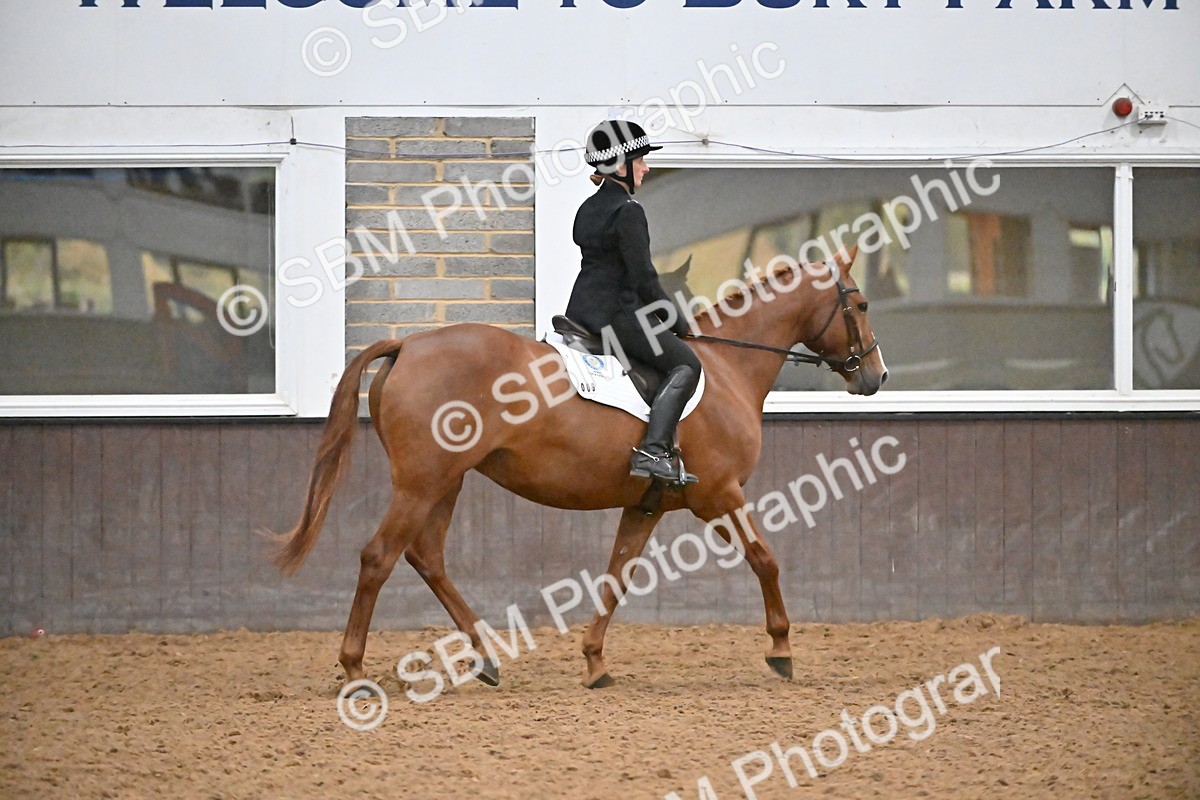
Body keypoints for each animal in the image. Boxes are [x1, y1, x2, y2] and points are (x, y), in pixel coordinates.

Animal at [273, 246, 887, 690]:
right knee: (379, 557)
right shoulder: (720, 495)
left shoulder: (646, 506)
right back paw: (355, 670)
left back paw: (487, 659)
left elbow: (617, 575)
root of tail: (408, 345)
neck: (727, 366)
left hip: (445, 482)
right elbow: (766, 560)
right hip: (423, 483)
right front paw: (781, 649)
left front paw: (594, 662)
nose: (875, 376)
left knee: (426, 557)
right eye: (859, 306)